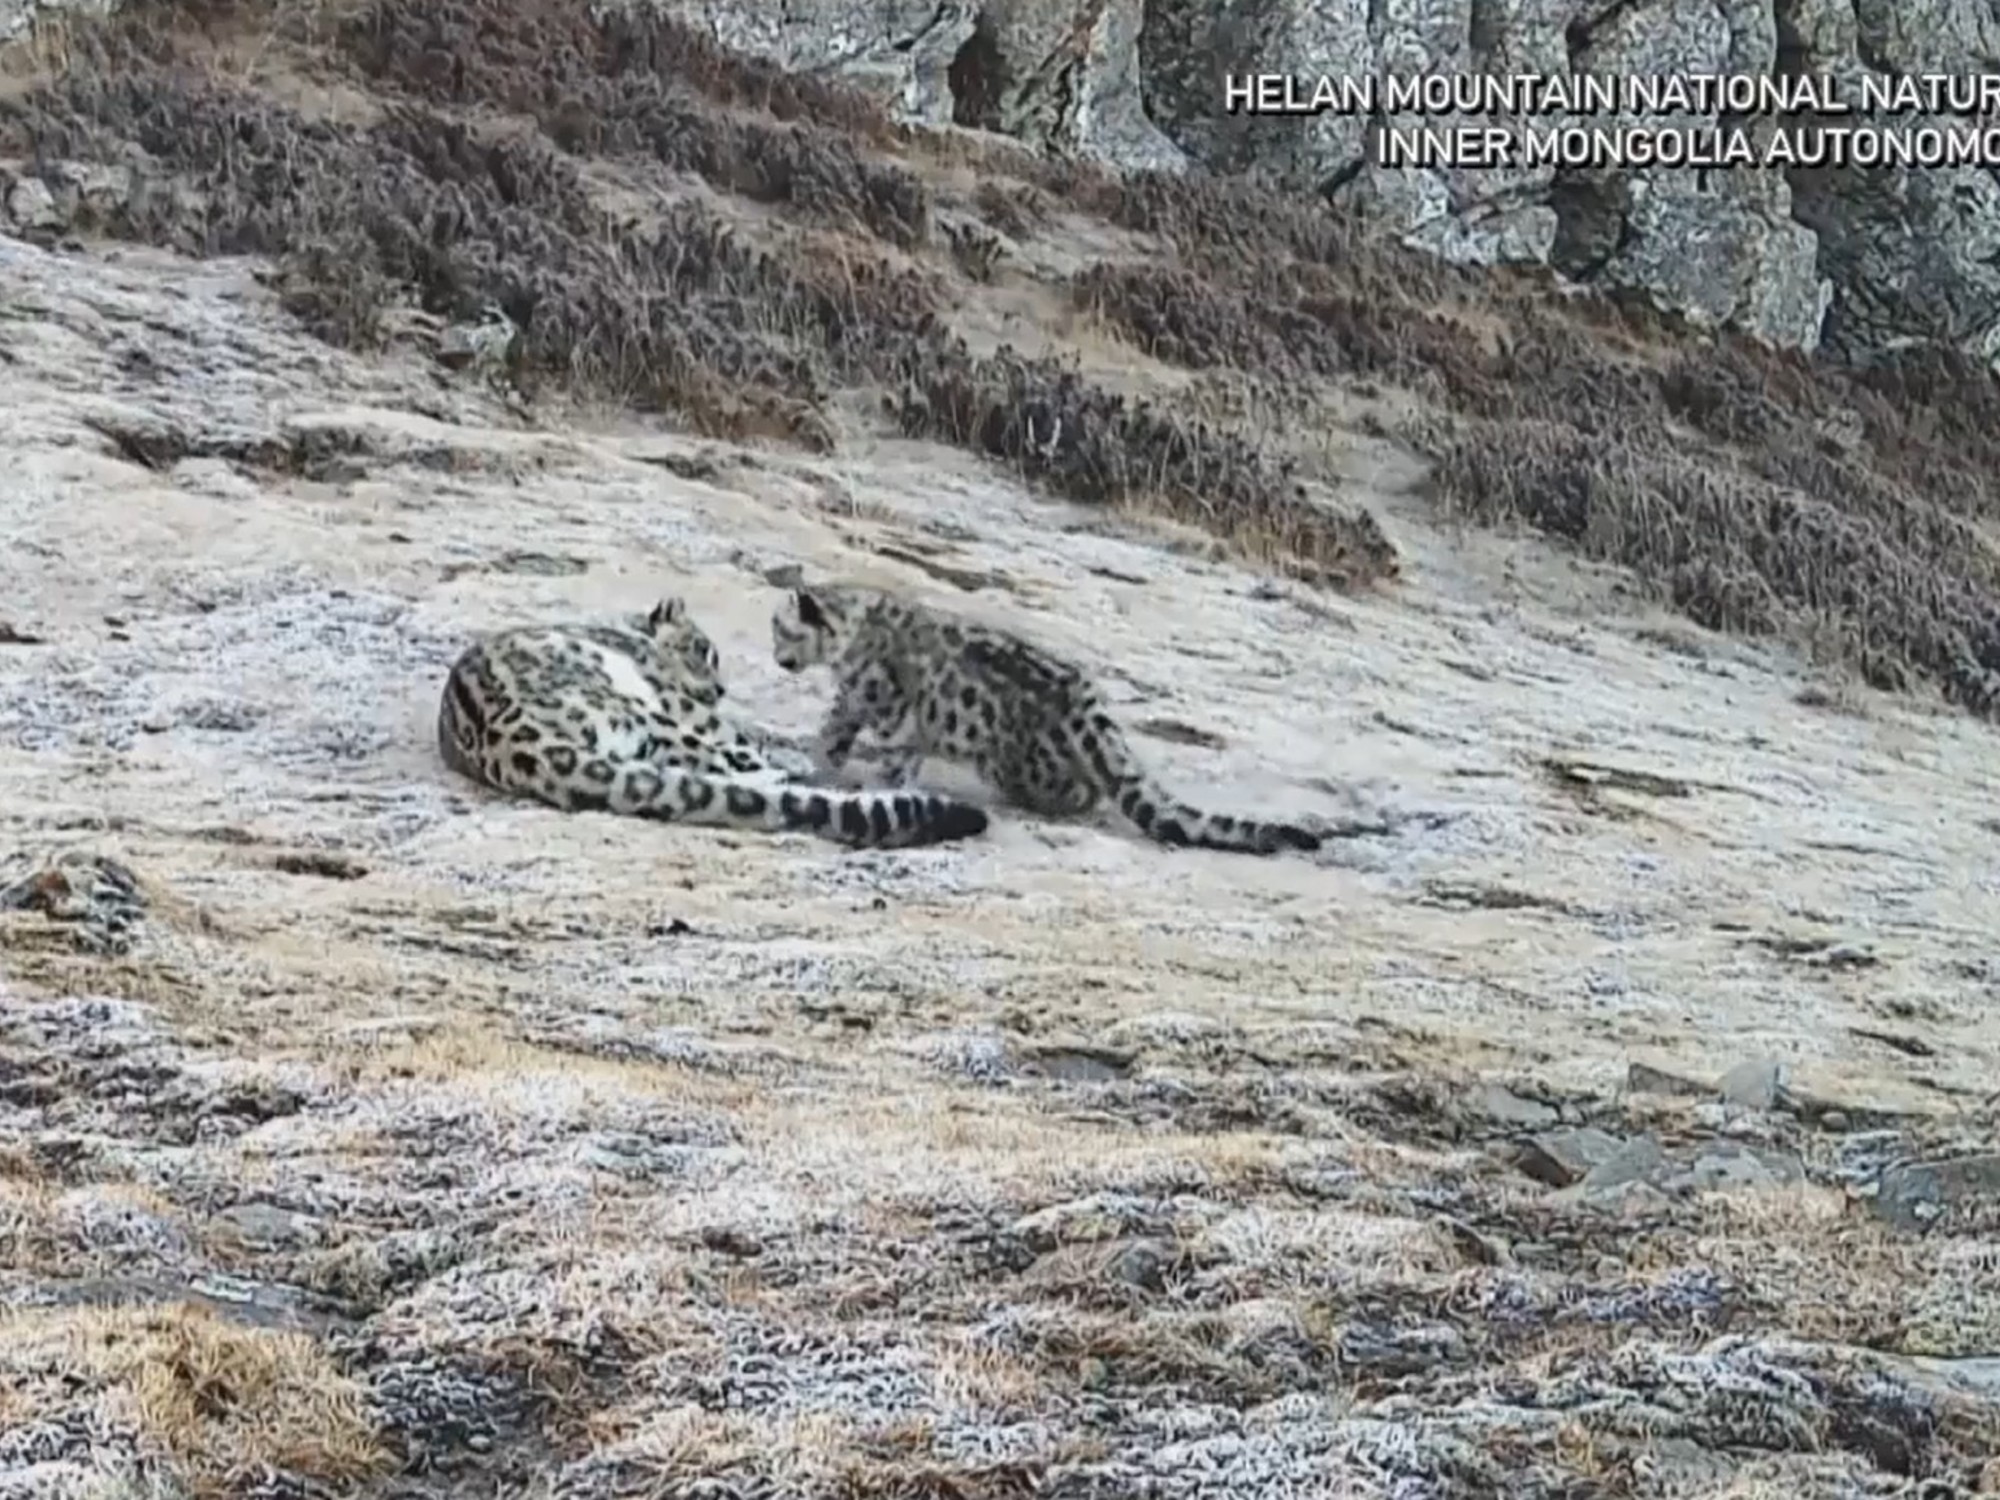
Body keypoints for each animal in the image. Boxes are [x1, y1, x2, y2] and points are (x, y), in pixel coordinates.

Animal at [438, 596, 989, 848]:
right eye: (706, 650)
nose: (721, 689)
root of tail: (510, 741)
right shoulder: (682, 700)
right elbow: (746, 737)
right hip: (659, 715)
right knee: (734, 763)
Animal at [769, 581, 1325, 856]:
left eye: (783, 629)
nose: (777, 658)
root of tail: (1084, 699)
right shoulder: (859, 703)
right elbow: (840, 733)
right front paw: (825, 763)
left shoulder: (885, 707)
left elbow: (882, 752)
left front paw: (867, 781)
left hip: (1017, 766)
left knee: (1082, 790)